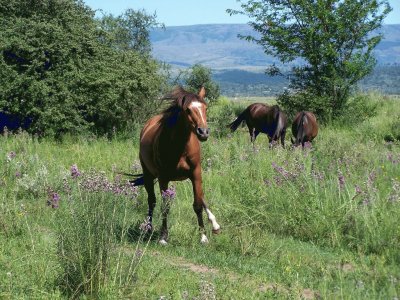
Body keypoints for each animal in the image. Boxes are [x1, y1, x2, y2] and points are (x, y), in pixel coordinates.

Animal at [132, 85, 220, 245]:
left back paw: (215, 224)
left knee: (201, 197)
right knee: (151, 201)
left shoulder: (196, 173)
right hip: (148, 175)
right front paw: (163, 237)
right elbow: (165, 207)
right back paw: (148, 227)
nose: (203, 132)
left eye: (205, 108)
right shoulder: (163, 178)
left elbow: (198, 204)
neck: (180, 146)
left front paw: (203, 236)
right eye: (188, 110)